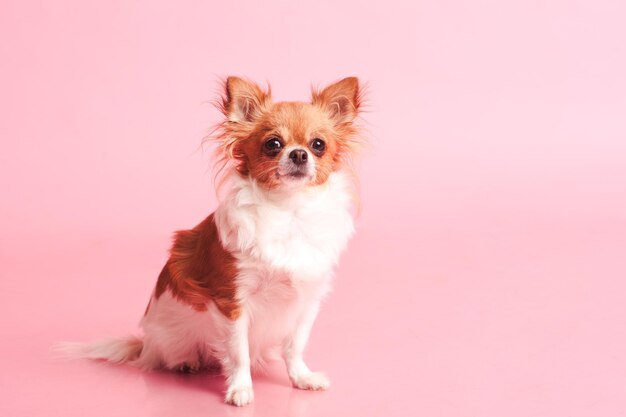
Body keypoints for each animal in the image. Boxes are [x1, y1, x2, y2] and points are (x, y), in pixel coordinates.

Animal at [59, 76, 360, 404]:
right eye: (273, 144)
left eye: (318, 145)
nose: (298, 154)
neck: (287, 211)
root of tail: (145, 344)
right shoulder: (232, 300)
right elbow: (238, 352)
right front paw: (240, 389)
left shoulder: (306, 301)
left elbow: (294, 346)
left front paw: (301, 377)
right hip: (172, 343)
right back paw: (186, 363)